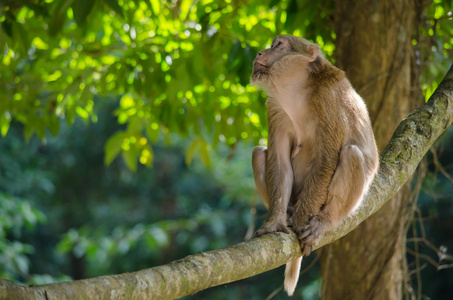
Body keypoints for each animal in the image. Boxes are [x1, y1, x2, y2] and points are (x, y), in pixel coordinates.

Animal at [251, 35, 378, 296]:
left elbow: (326, 159)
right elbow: (278, 161)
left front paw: (301, 223)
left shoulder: (327, 99)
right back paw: (289, 211)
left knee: (351, 154)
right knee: (259, 153)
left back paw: (325, 220)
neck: (298, 92)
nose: (259, 53)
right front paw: (274, 223)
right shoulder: (275, 107)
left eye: (278, 45)